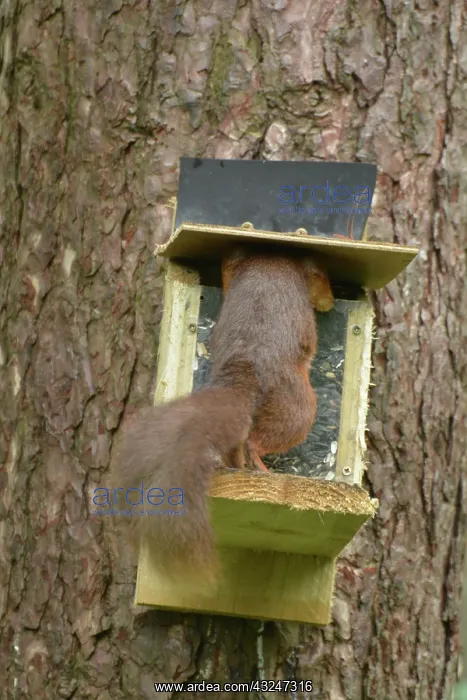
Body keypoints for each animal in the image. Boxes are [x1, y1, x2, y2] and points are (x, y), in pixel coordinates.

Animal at [111, 246, 334, 582]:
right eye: (324, 277)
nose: (331, 303)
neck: (273, 261)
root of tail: (245, 368)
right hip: (297, 408)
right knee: (256, 442)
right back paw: (263, 471)